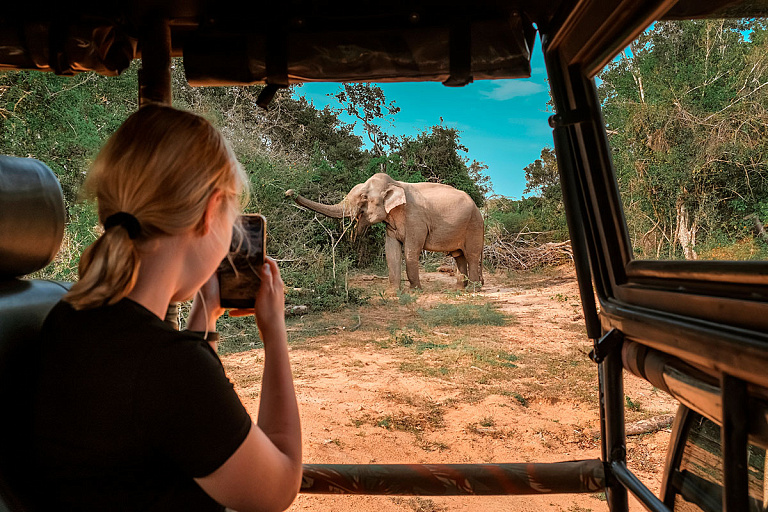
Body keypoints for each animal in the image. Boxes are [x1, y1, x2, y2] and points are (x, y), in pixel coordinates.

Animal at [284, 174, 484, 290]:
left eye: (364, 197)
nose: (289, 192)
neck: (395, 183)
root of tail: (479, 209)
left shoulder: (416, 219)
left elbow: (411, 251)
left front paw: (415, 290)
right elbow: (391, 250)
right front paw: (393, 292)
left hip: (474, 226)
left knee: (471, 256)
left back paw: (473, 290)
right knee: (459, 256)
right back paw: (460, 289)